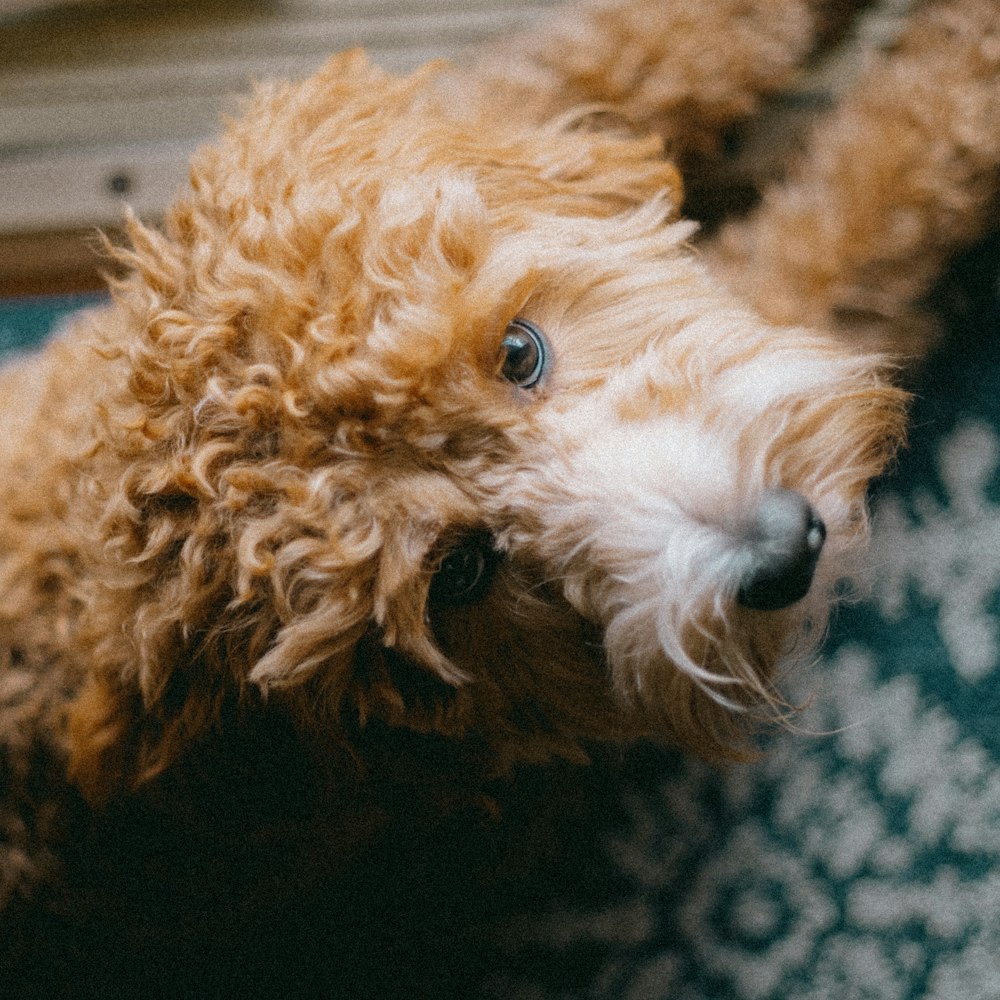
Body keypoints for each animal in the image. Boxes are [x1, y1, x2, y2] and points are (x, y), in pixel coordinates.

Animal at [0, 0, 996, 988]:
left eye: (518, 351)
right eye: (461, 575)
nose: (785, 553)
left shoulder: (500, 103)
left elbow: (654, 42)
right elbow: (856, 214)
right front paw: (959, 69)